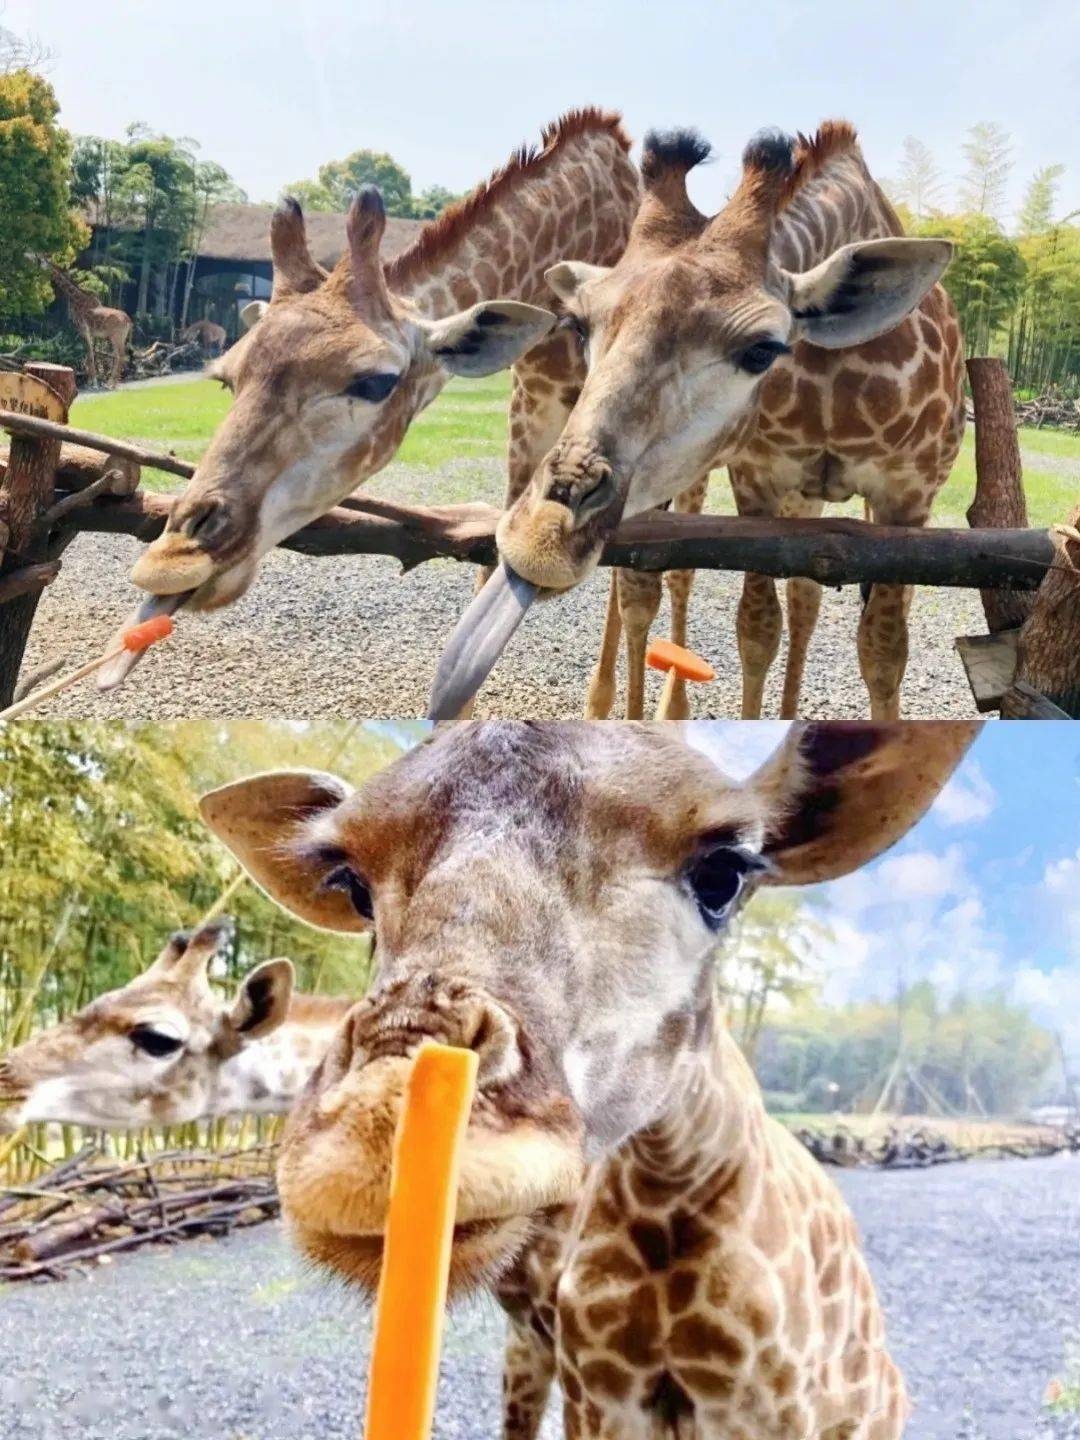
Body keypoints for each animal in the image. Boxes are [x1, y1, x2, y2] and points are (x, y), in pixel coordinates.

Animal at [42, 256, 132, 385]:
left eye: (40, 259)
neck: (77, 300)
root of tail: (129, 320)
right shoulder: (91, 333)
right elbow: (91, 354)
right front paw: (92, 379)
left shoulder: (84, 329)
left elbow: (89, 354)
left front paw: (93, 382)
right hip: (118, 337)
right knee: (118, 355)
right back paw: (111, 382)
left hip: (117, 336)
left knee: (121, 355)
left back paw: (112, 383)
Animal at [198, 714, 984, 1434]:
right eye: (353, 886)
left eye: (724, 872)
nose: (368, 1134)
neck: (667, 1197)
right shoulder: (594, 1382)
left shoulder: (768, 1410)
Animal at [460, 120, 967, 720]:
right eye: (580, 325)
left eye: (762, 349)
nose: (542, 536)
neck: (837, 378)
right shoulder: (759, 485)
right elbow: (756, 631)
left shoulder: (907, 498)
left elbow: (883, 655)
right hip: (801, 499)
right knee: (804, 598)